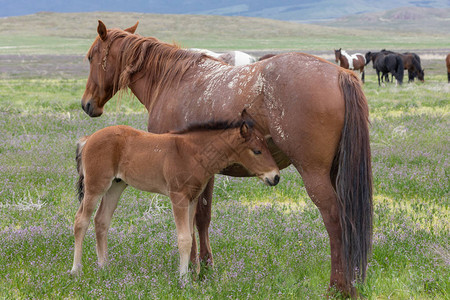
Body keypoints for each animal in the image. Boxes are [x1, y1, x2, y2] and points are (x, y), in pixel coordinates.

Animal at [71, 117, 280, 278]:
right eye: (257, 151)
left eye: (267, 148)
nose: (276, 177)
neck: (192, 154)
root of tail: (88, 138)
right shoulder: (178, 197)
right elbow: (184, 238)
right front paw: (183, 279)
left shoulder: (192, 199)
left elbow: (190, 235)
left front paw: (190, 274)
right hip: (95, 186)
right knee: (81, 220)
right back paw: (76, 270)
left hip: (116, 186)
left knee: (101, 220)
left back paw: (104, 267)